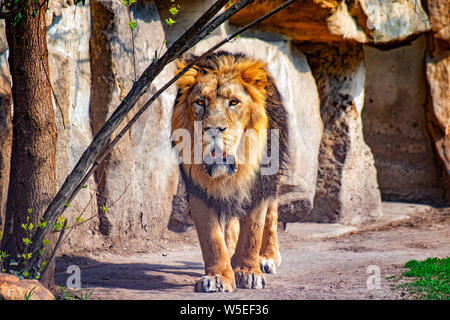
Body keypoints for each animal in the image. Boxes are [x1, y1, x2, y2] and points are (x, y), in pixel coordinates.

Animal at [171, 50, 286, 292]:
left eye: (234, 102)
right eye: (200, 102)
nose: (213, 130)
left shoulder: (259, 185)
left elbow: (253, 230)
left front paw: (249, 272)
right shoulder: (199, 189)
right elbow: (211, 238)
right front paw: (218, 277)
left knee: (271, 214)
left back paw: (267, 257)